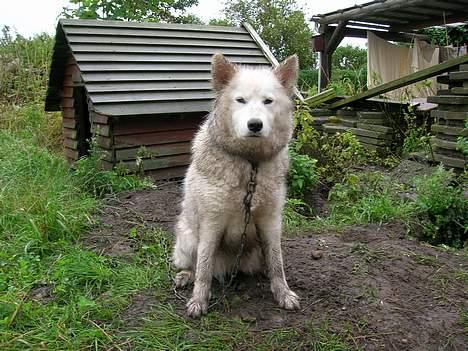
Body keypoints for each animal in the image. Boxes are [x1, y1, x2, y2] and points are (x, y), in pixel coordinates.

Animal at [173, 53, 300, 320]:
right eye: (240, 100)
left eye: (268, 101)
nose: (255, 125)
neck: (249, 164)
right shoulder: (211, 222)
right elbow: (203, 267)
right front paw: (199, 300)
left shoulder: (271, 222)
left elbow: (277, 262)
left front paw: (282, 292)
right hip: (188, 238)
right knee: (194, 265)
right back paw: (185, 276)